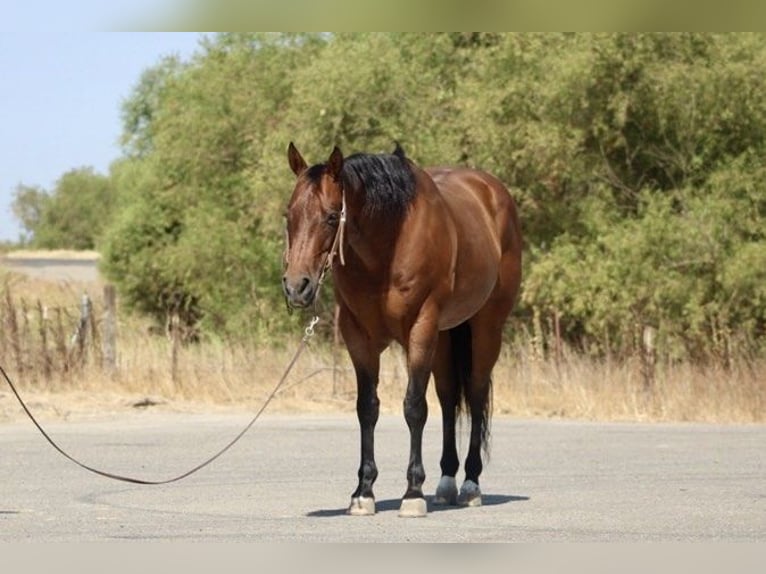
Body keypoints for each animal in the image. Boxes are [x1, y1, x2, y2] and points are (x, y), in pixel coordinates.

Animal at [282, 142, 522, 517]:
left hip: (486, 328)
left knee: (476, 395)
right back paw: (447, 481)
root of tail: (493, 192)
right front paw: (363, 492)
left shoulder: (420, 328)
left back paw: (470, 484)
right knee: (449, 398)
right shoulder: (358, 337)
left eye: (332, 217)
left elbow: (414, 407)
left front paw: (412, 492)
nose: (297, 287)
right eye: (288, 215)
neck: (387, 248)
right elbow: (367, 408)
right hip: (445, 335)